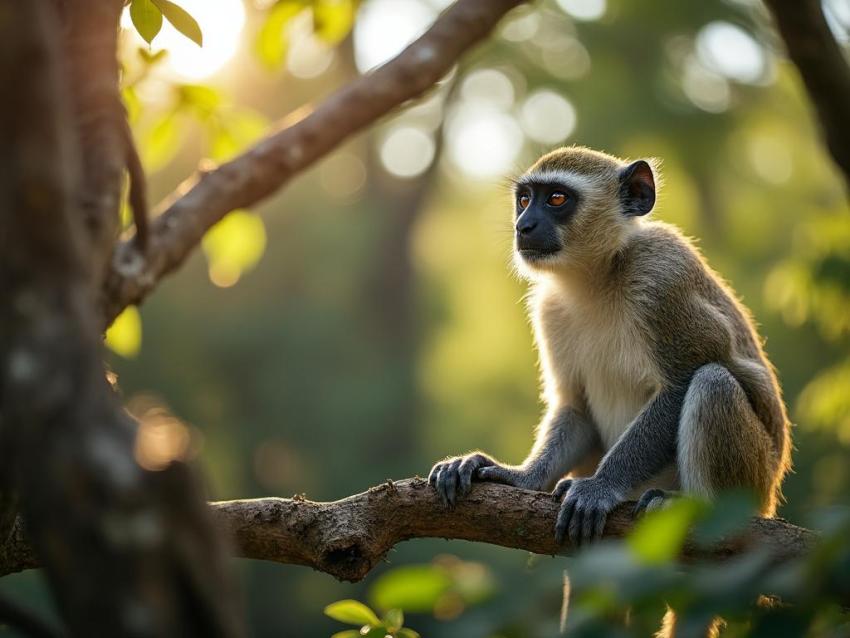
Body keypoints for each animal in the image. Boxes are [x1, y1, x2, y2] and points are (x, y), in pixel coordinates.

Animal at [429, 146, 792, 551]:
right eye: (524, 200)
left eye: (557, 198)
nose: (523, 226)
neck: (595, 279)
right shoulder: (549, 310)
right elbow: (575, 404)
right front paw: (520, 477)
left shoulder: (660, 276)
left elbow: (683, 380)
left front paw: (600, 486)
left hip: (753, 484)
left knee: (713, 382)